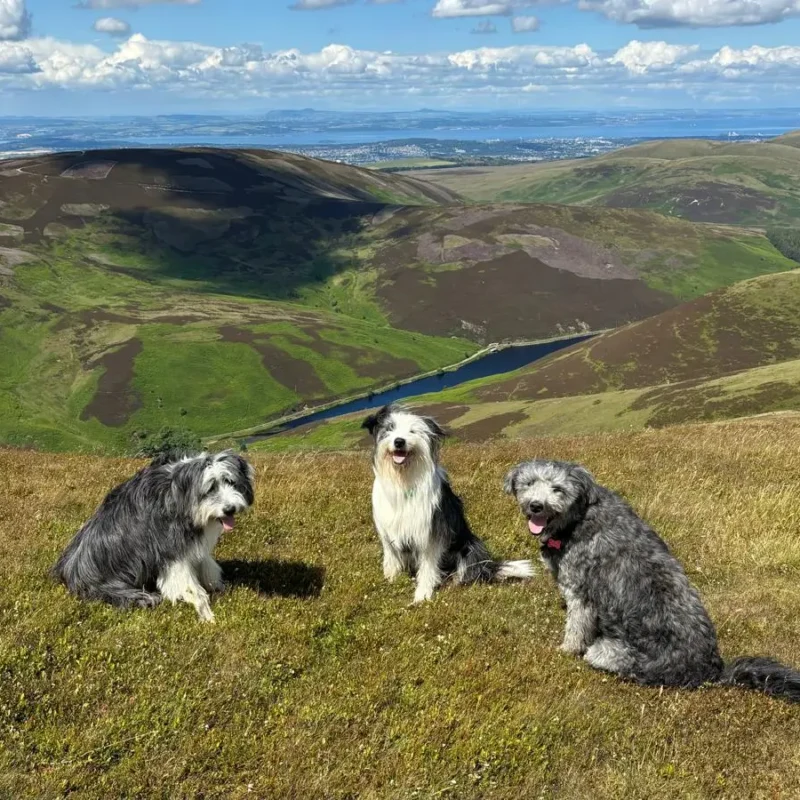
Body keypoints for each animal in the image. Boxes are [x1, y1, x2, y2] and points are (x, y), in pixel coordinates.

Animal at [54, 450, 253, 624]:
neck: (179, 493)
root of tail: (68, 574)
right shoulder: (171, 550)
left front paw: (218, 587)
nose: (230, 509)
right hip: (120, 589)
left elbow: (206, 566)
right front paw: (207, 614)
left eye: (231, 482)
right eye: (210, 488)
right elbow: (191, 587)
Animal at [362, 404, 532, 604]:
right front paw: (390, 579)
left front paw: (422, 594)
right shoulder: (388, 530)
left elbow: (428, 566)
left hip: (471, 546)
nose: (399, 442)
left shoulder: (431, 532)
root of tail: (489, 567)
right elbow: (391, 558)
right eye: (390, 428)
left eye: (412, 431)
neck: (403, 480)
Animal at [506, 460, 800, 704]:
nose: (536, 506)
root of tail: (713, 671)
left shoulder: (579, 590)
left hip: (610, 651)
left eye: (557, 488)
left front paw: (566, 650)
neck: (577, 518)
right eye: (529, 483)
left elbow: (576, 627)